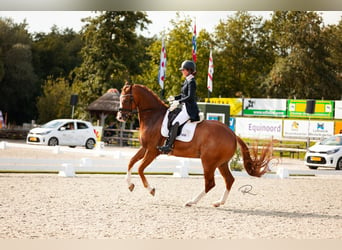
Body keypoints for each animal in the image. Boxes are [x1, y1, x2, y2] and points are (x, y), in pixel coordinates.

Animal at [117, 83, 272, 206]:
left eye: (126, 99)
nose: (120, 117)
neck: (153, 116)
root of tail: (232, 134)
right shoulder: (145, 148)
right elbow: (131, 162)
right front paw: (130, 185)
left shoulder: (152, 151)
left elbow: (140, 169)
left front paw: (151, 190)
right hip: (221, 163)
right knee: (229, 180)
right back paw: (218, 202)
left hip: (208, 161)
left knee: (210, 183)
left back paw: (191, 202)